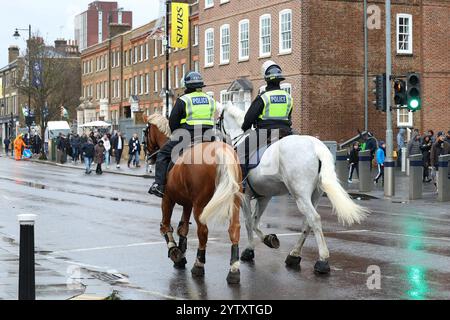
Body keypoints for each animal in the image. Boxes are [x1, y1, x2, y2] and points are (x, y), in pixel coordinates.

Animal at [145, 114, 244, 284]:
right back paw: (234, 269)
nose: (148, 157)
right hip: (233, 201)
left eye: (145, 132)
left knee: (203, 232)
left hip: (200, 204)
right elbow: (183, 228)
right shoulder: (187, 204)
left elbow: (166, 226)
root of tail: (218, 150)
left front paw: (175, 252)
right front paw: (181, 256)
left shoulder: (168, 199)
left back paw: (199, 265)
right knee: (234, 229)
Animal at [218, 102, 370, 276]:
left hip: (300, 194)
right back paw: (294, 255)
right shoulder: (264, 197)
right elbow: (255, 221)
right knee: (307, 223)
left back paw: (322, 260)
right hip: (315, 195)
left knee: (314, 219)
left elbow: (249, 222)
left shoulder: (244, 195)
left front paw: (249, 250)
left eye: (219, 119)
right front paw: (269, 239)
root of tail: (316, 146)